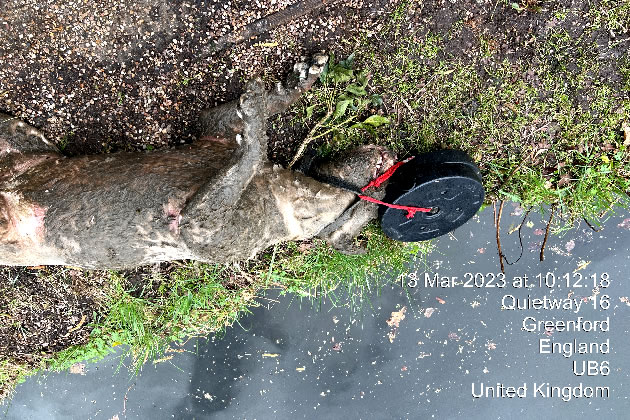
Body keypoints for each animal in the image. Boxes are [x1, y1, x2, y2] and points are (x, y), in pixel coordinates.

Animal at [0, 55, 396, 270]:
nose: (391, 153)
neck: (287, 192)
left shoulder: (200, 229)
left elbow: (251, 149)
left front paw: (260, 111)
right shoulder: (215, 132)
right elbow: (261, 118)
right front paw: (296, 83)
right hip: (22, 139)